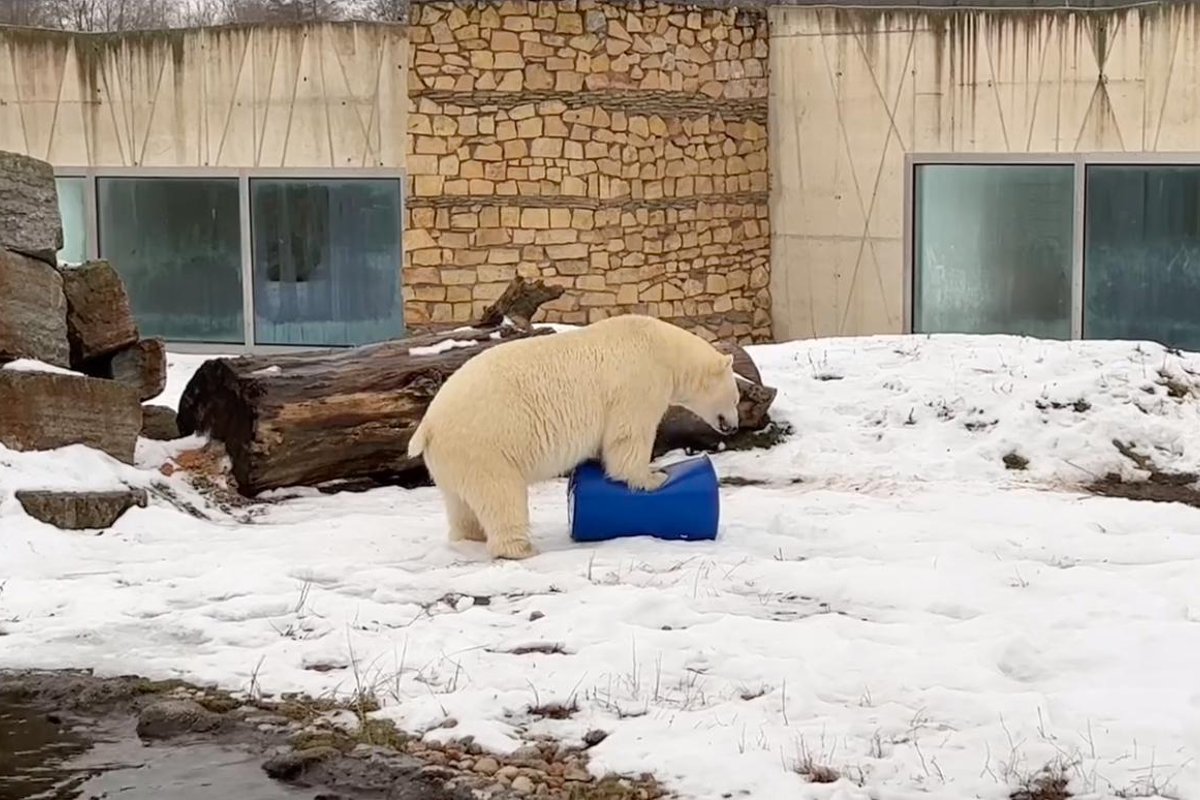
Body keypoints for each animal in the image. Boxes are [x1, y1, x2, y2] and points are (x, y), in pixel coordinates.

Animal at [410, 311, 739, 556]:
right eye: (736, 398)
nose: (734, 426)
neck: (662, 347)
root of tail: (428, 425)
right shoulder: (638, 381)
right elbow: (629, 433)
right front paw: (653, 477)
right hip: (484, 445)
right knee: (500, 495)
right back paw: (519, 548)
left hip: (452, 461)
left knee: (460, 504)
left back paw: (471, 537)